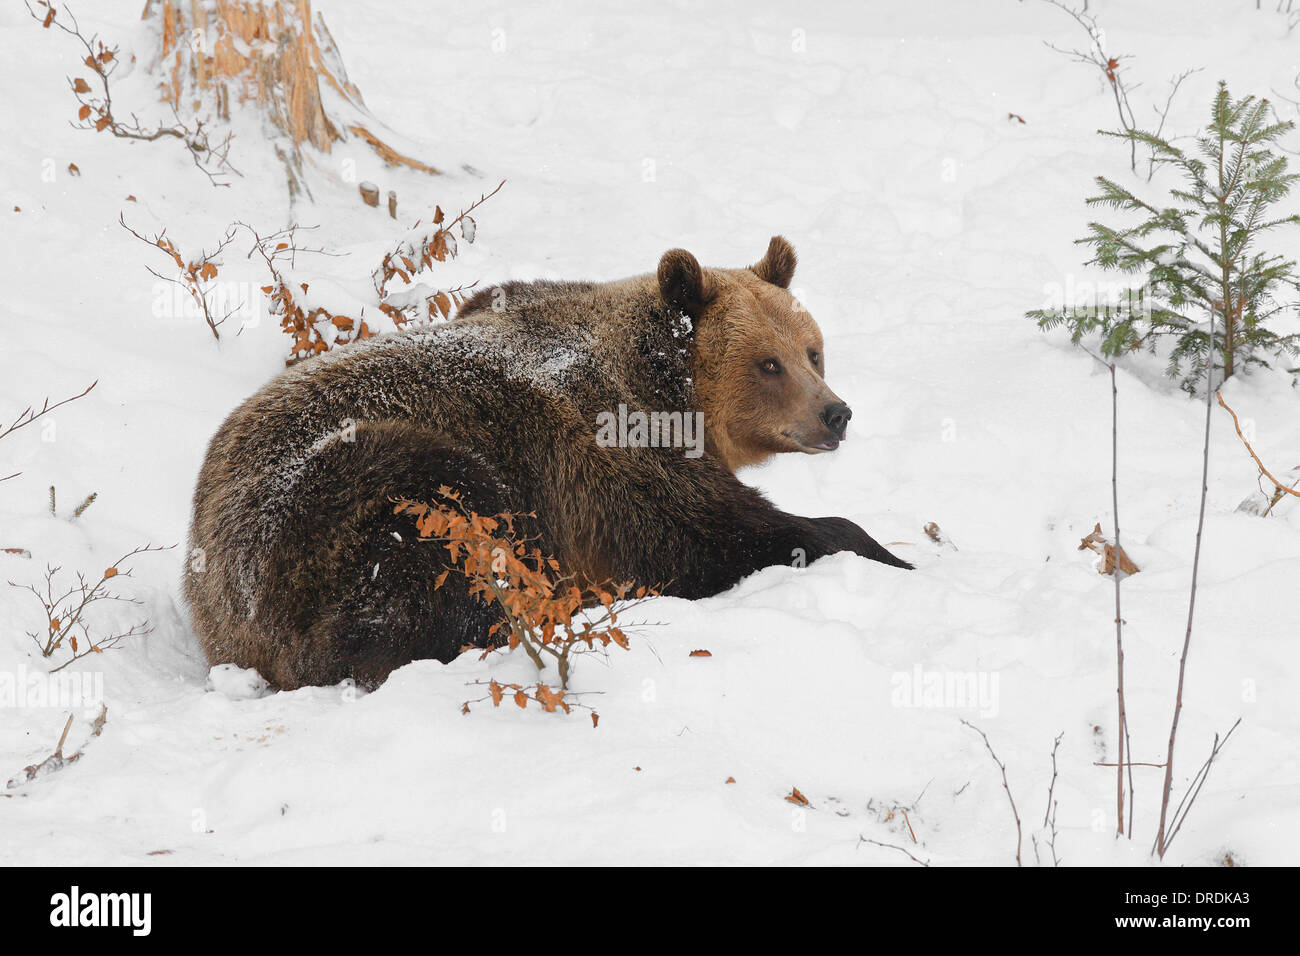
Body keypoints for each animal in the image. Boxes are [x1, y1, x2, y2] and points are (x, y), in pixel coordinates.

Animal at [184, 236, 911, 690]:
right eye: (769, 363)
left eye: (812, 351)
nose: (836, 413)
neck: (674, 392)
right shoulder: (607, 458)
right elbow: (711, 536)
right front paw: (881, 549)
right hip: (339, 505)